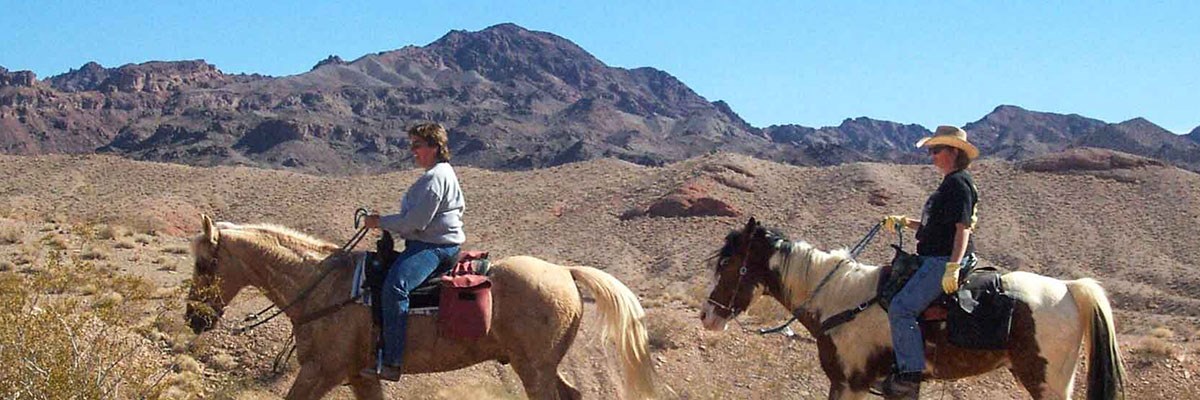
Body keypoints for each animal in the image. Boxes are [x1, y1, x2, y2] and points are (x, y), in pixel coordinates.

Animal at [183, 215, 657, 398]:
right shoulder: (360, 375)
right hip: (541, 366)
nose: (194, 318)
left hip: (534, 369)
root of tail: (565, 271)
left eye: (205, 264)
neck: (324, 286)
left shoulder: (320, 372)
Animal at [696, 218, 1123, 398]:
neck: (839, 298)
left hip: (1047, 381)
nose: (707, 315)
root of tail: (1069, 288)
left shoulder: (852, 382)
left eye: (729, 265)